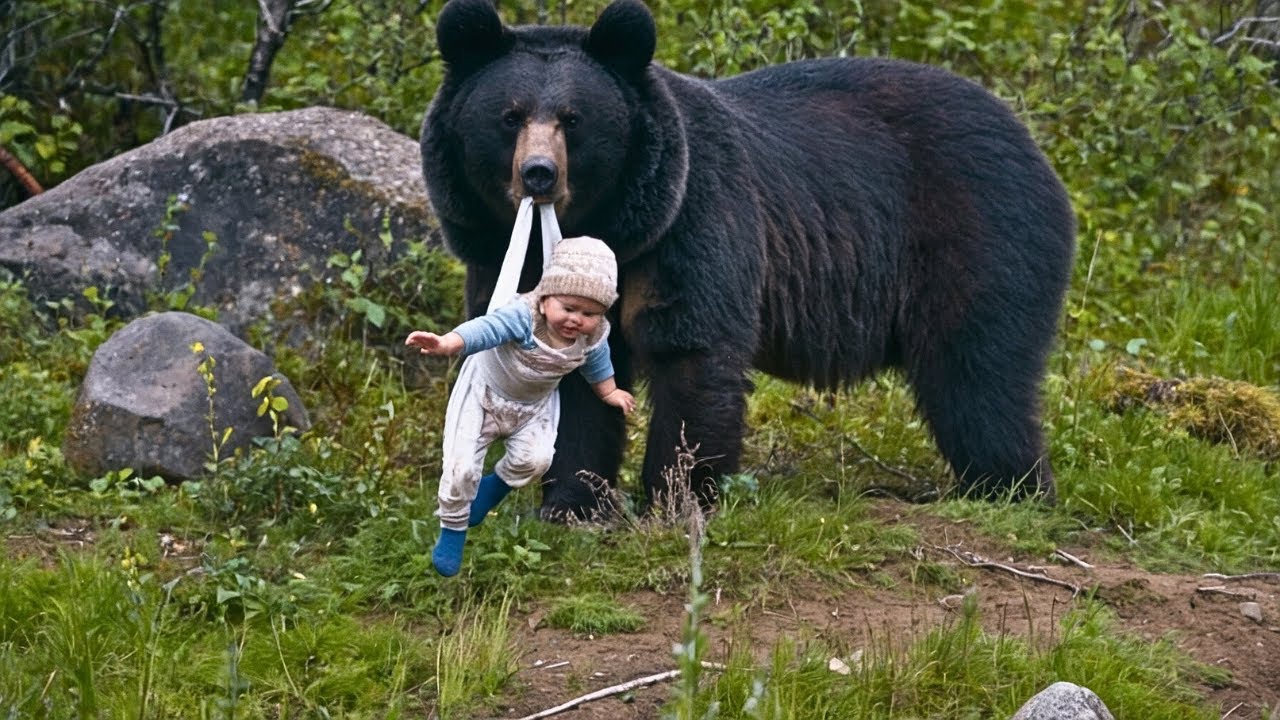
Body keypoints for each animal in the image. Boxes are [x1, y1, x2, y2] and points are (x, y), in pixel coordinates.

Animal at [420, 0, 1076, 519]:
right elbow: (574, 380)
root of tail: (1032, 144)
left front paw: (677, 495)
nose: (539, 173)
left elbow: (692, 349)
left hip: (980, 236)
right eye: (509, 116)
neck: (607, 227)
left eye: (573, 120)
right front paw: (573, 502)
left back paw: (1010, 486)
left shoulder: (688, 223)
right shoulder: (505, 255)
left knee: (976, 372)